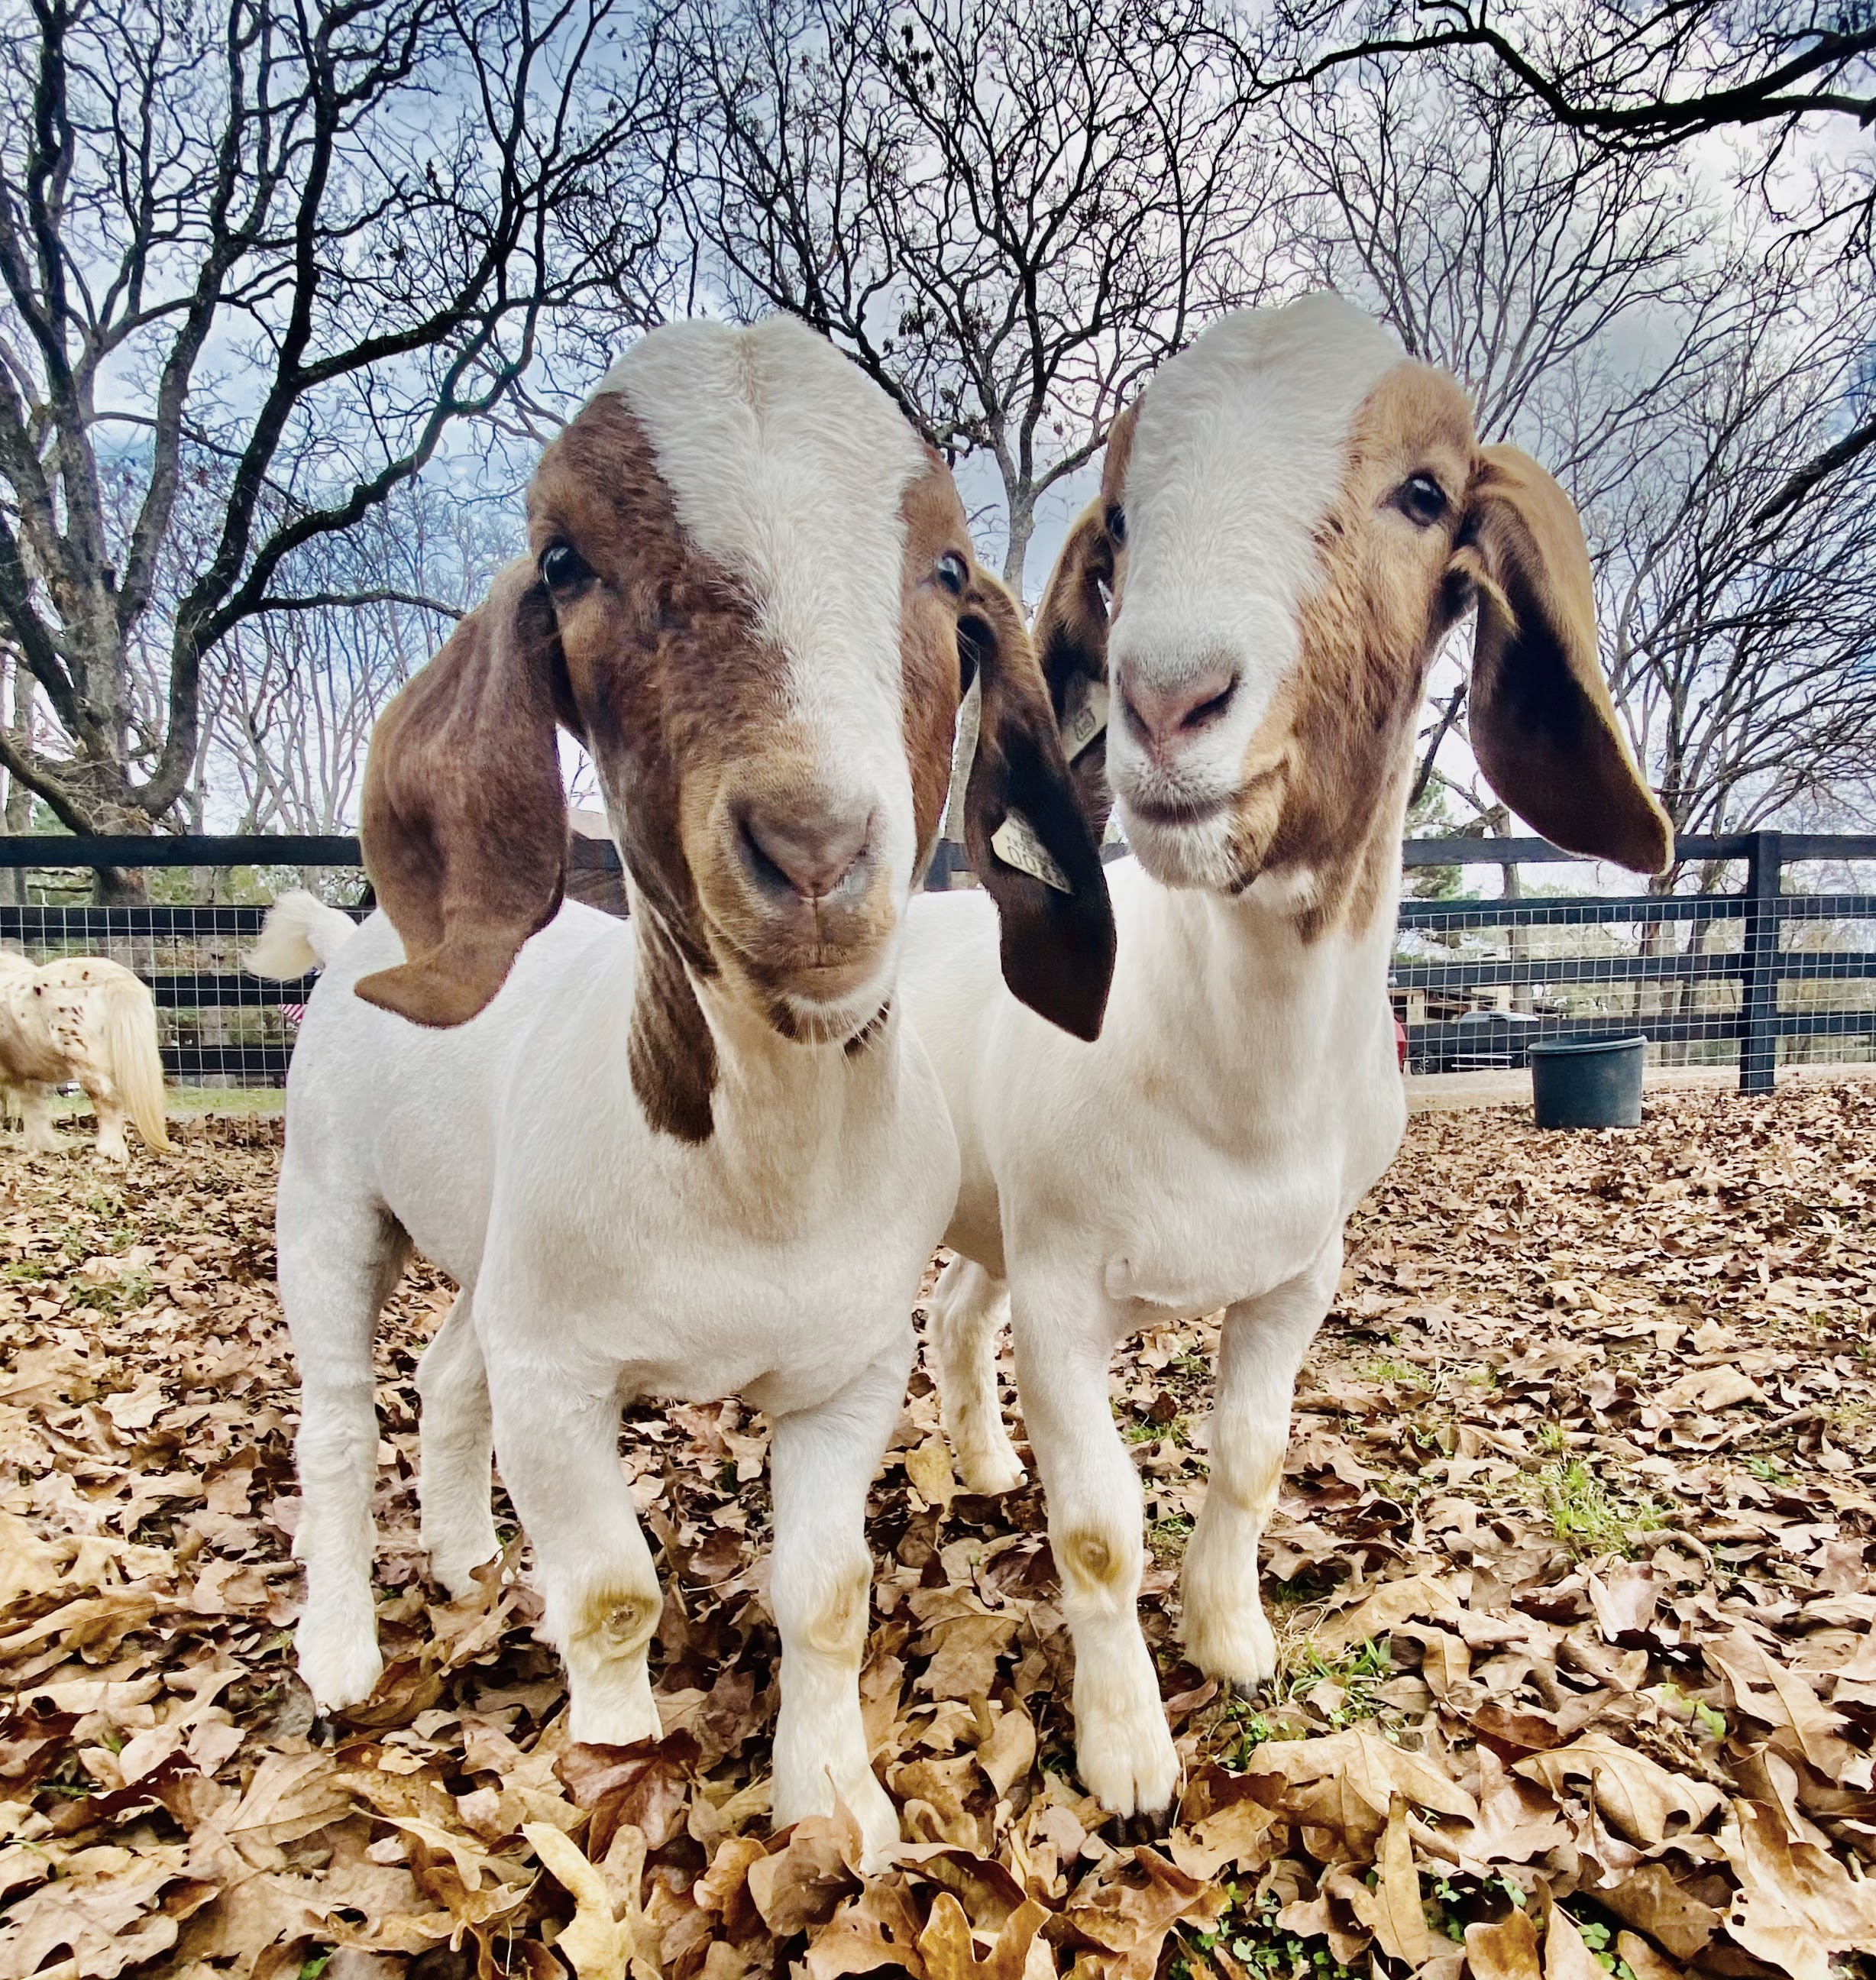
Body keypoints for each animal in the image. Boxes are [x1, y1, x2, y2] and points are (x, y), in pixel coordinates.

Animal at [0, 950, 171, 1161]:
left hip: (85, 1059)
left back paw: (109, 1152)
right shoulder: (28, 1078)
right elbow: (35, 1111)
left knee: (107, 1101)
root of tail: (113, 978)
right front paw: (40, 1149)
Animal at [263, 315, 1113, 1866]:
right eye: (562, 561)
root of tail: (350, 936)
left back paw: (467, 1558)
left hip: (492, 1255)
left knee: (446, 1369)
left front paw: (830, 1801)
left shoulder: (846, 1369)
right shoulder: (562, 1375)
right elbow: (609, 1592)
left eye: (948, 571)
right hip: (328, 1197)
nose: (816, 848)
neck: (755, 1181)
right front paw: (613, 1775)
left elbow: (826, 1594)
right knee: (339, 1415)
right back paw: (341, 1648)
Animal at [896, 294, 1673, 1817]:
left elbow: (1252, 1458)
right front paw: (1130, 1753)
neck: (1231, 1082)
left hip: (993, 1209)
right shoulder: (1068, 1292)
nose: (1167, 698)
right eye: (1123, 522)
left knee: (959, 1315)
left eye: (1424, 495)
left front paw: (1233, 1641)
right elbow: (1097, 1529)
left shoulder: (1298, 1272)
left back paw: (983, 1460)